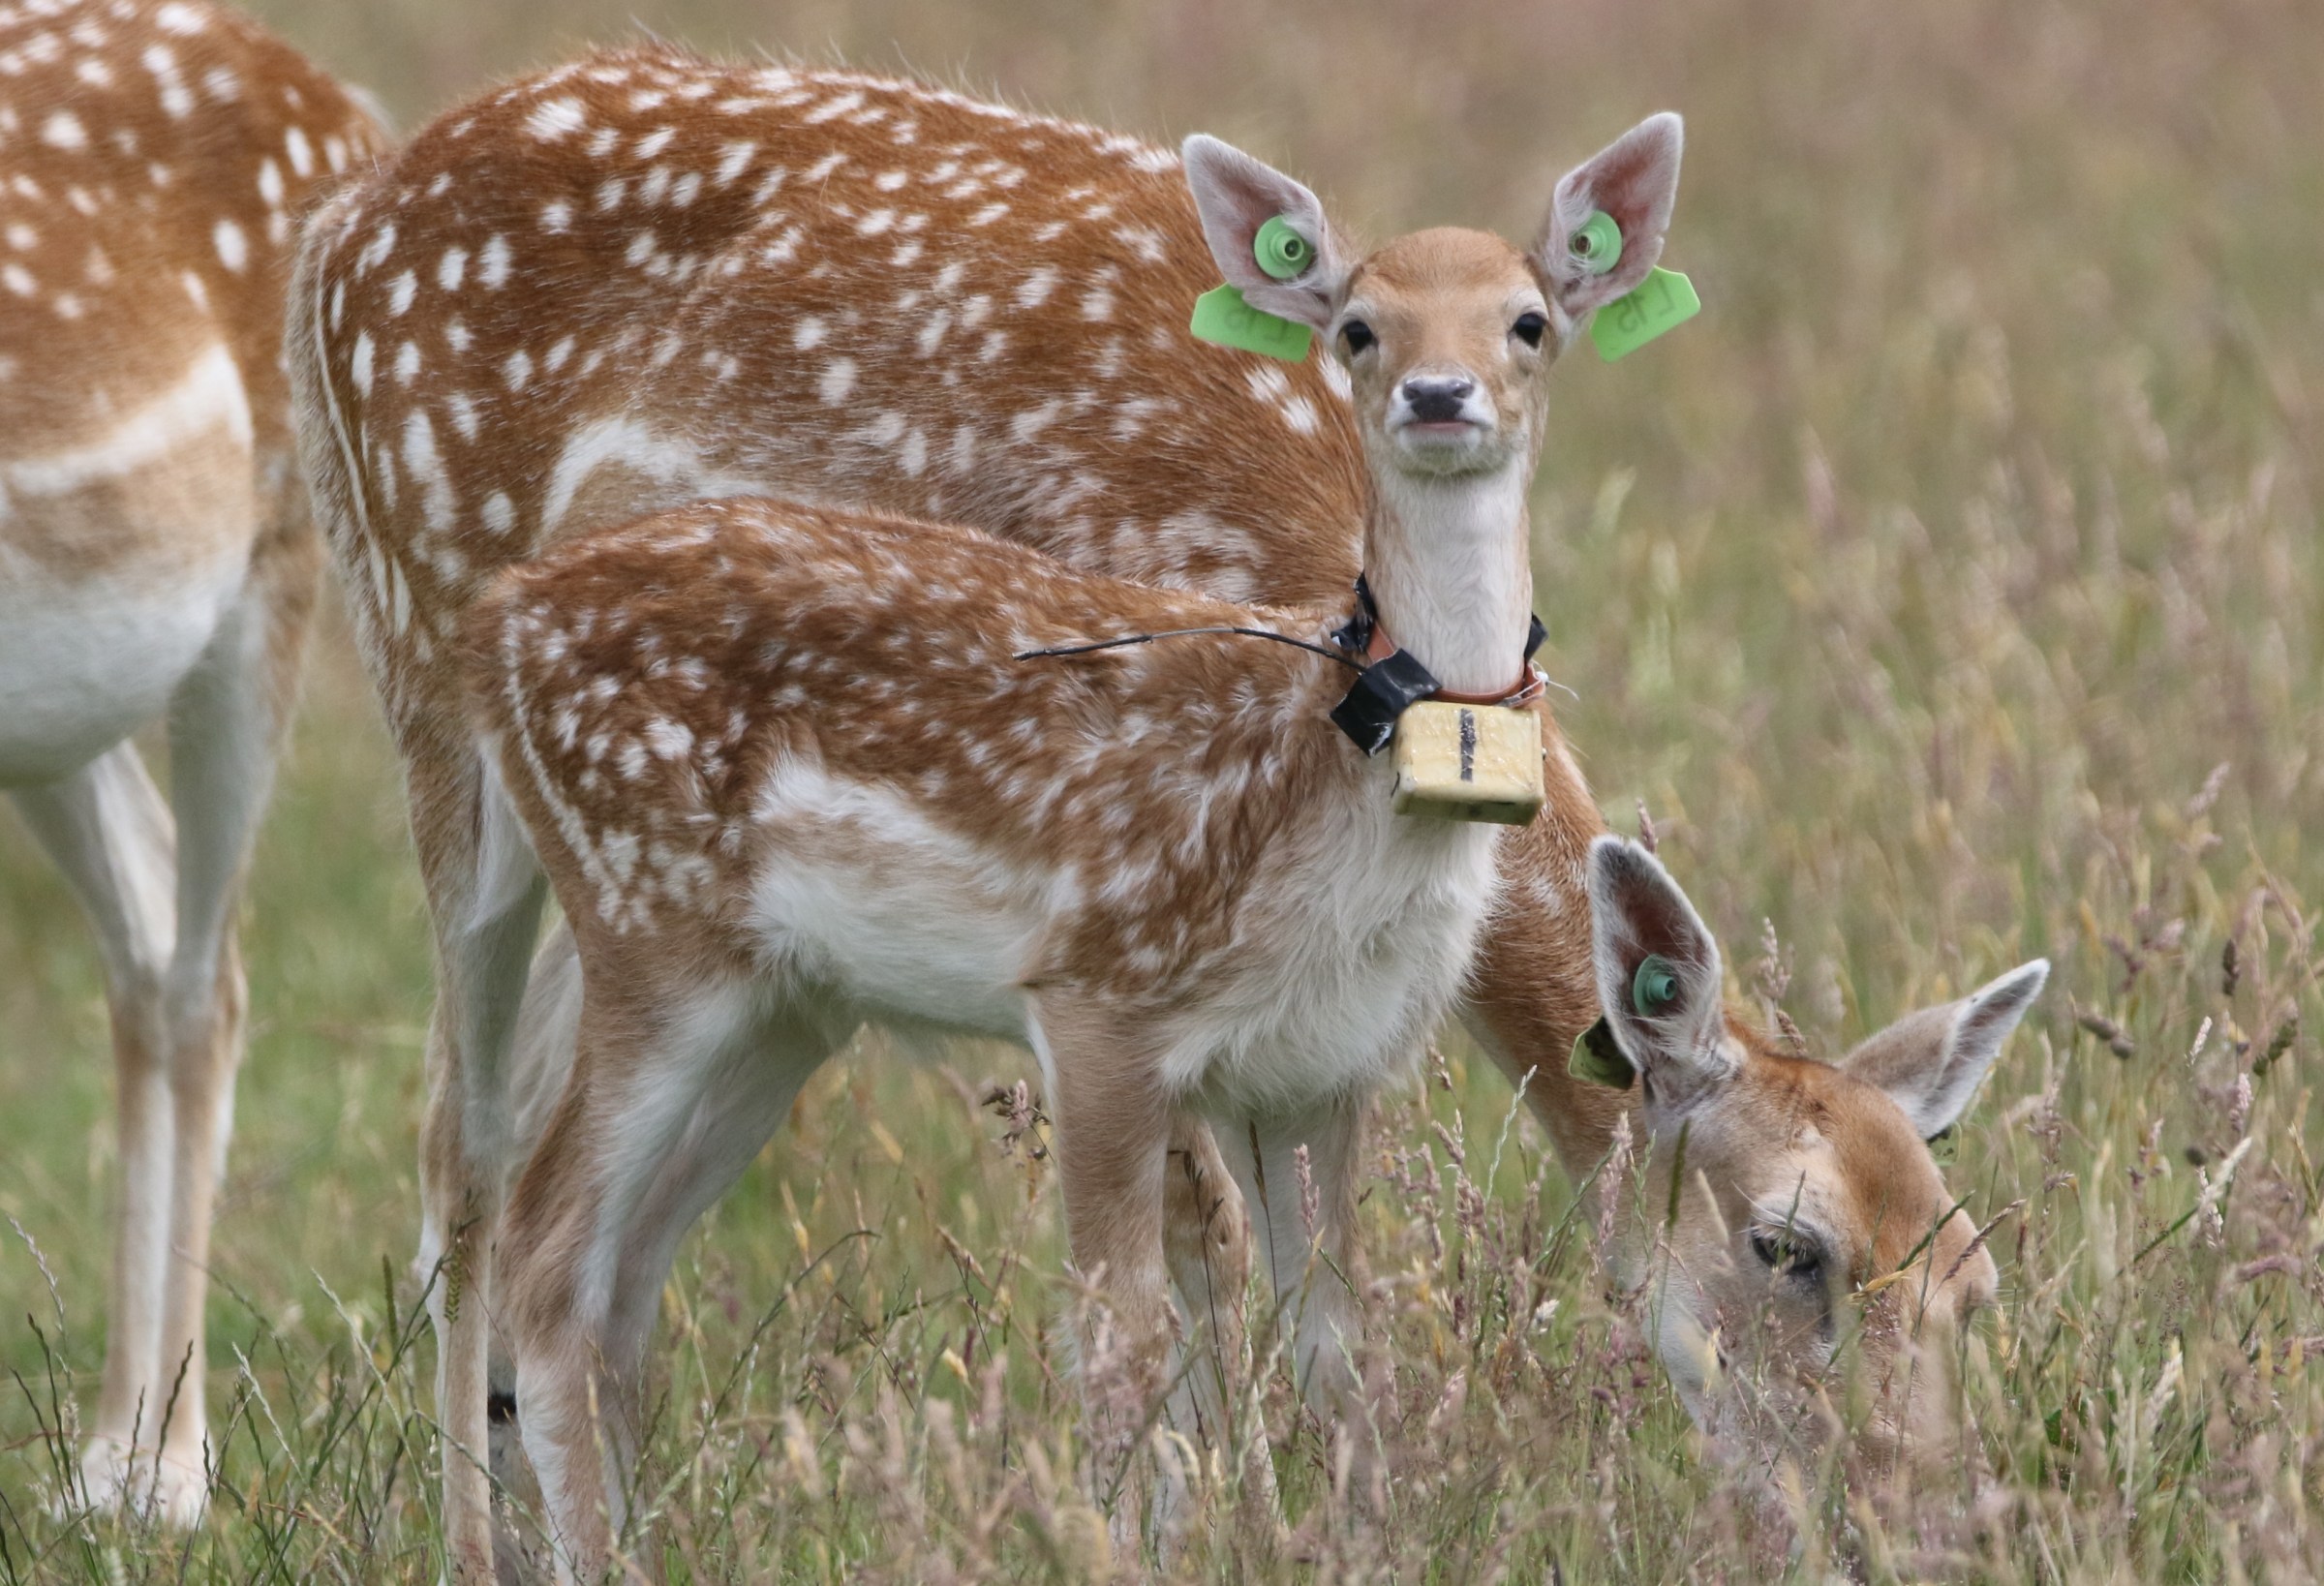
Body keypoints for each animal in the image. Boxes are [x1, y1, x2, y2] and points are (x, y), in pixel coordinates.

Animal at [0, 0, 385, 1515]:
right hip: (63, 702)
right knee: (151, 930)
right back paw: (114, 1452)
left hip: (274, 564)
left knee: (205, 977)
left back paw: (160, 1473)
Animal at [290, 46, 2054, 1571]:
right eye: (1788, 1243)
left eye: (1971, 1269)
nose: (1927, 1521)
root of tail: (342, 218)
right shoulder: (1126, 919)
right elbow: (1189, 1265)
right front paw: (1195, 1520)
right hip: (428, 672)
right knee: (463, 1149)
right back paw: (469, 1532)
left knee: (597, 1228)